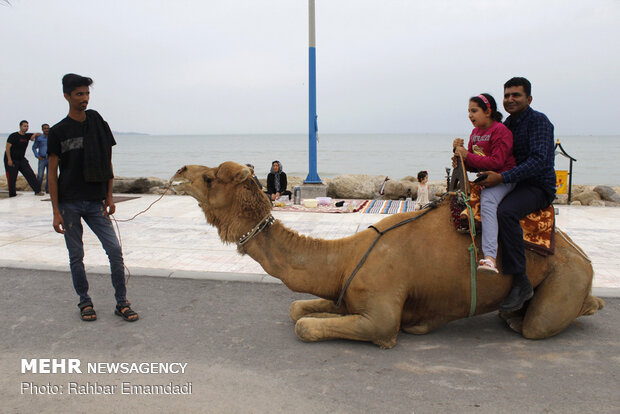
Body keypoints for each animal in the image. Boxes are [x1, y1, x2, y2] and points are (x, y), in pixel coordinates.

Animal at [173, 160, 604, 348]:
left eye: (209, 177)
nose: (179, 172)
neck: (343, 258)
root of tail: (580, 256)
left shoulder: (380, 315)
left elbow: (306, 326)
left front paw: (411, 328)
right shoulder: (346, 295)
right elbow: (298, 310)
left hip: (566, 277)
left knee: (539, 325)